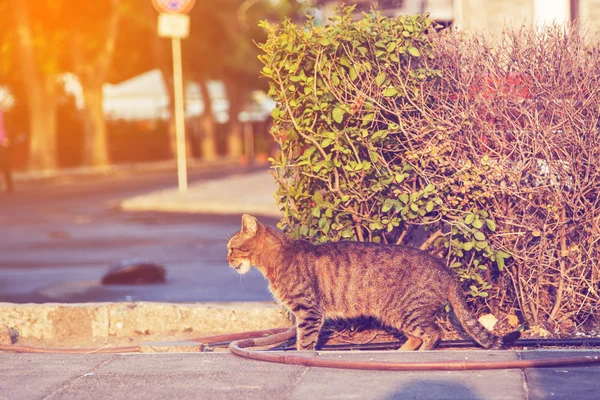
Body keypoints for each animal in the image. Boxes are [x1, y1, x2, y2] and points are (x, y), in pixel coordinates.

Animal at [227, 216, 516, 350]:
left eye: (231, 248)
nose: (227, 259)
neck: (276, 259)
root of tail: (445, 270)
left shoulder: (309, 313)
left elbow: (304, 342)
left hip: (406, 311)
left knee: (434, 333)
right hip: (397, 314)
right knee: (417, 335)